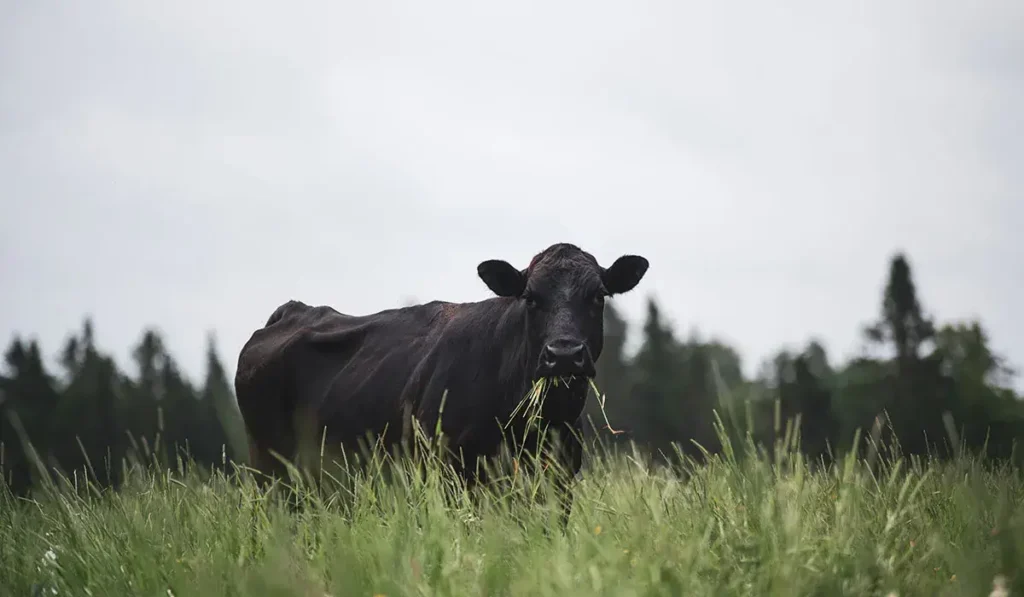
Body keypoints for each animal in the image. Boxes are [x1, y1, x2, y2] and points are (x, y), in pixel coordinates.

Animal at [233, 242, 649, 523]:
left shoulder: (560, 478)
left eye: (598, 296)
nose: (563, 354)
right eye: (530, 297)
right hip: (272, 474)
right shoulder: (446, 470)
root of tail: (294, 309)